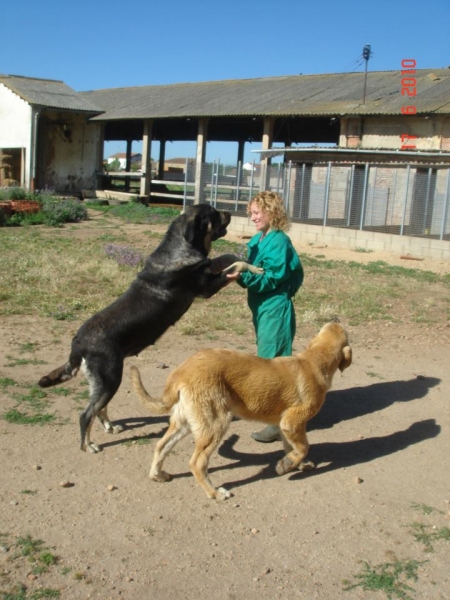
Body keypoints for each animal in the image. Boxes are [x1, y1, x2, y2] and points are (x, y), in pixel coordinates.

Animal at [39, 204, 253, 452]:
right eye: (213, 212)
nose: (230, 212)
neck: (181, 247)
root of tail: (78, 341)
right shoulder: (207, 287)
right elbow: (231, 269)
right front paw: (249, 266)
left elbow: (226, 258)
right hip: (110, 378)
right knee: (86, 414)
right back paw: (88, 445)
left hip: (105, 381)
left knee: (99, 408)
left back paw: (110, 427)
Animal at [130, 318, 352, 502]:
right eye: (343, 330)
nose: (336, 318)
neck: (312, 361)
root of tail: (181, 371)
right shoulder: (292, 422)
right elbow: (304, 447)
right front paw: (290, 464)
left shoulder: (284, 425)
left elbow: (293, 448)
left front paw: (292, 464)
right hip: (216, 423)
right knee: (197, 463)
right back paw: (215, 493)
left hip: (186, 422)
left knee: (161, 446)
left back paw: (158, 475)